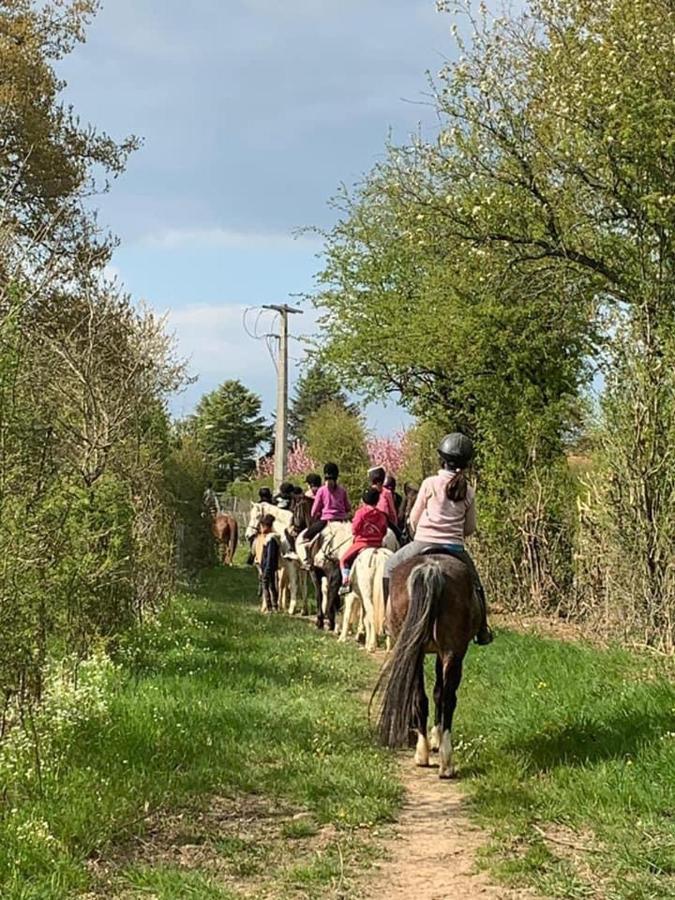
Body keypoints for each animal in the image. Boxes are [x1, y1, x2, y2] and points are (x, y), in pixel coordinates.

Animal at [374, 552, 480, 776]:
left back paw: (425, 754)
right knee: (445, 699)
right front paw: (436, 738)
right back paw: (444, 761)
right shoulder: (443, 653)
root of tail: (431, 569)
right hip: (452, 652)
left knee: (422, 698)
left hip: (422, 652)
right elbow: (439, 692)